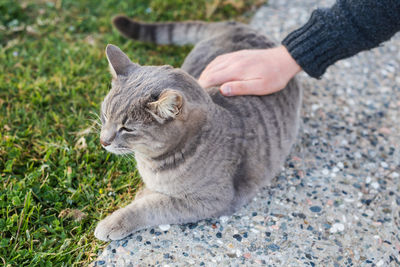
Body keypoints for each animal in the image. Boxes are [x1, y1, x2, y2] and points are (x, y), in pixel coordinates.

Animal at [95, 16, 302, 243]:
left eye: (127, 128)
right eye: (105, 115)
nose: (103, 141)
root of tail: (234, 26)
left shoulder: (210, 200)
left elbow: (152, 206)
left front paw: (115, 221)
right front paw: (145, 192)